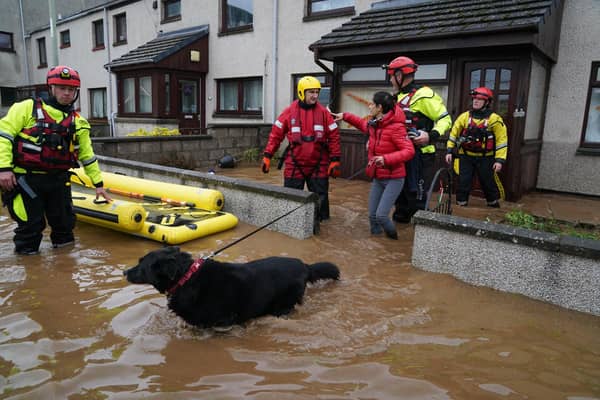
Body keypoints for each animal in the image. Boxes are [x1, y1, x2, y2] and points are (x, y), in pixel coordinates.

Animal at [124, 247, 340, 328]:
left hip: (283, 305)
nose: (124, 272)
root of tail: (304, 265)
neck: (186, 278)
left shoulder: (221, 322)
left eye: (142, 266)